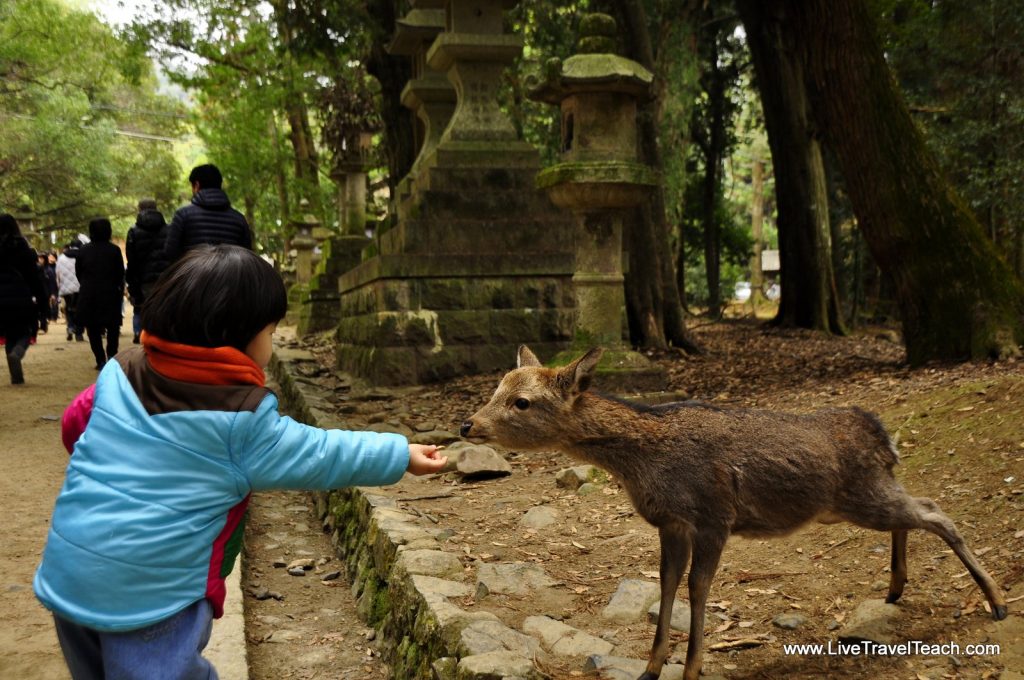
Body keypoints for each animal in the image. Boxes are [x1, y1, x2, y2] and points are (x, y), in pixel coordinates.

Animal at [460, 346, 1008, 680]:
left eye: (522, 401)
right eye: (495, 389)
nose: (467, 424)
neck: (644, 463)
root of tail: (883, 434)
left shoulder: (713, 515)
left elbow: (697, 589)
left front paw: (692, 668)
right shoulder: (671, 523)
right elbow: (666, 586)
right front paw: (650, 668)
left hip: (865, 494)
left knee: (936, 511)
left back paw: (998, 603)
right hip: (861, 498)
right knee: (916, 513)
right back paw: (895, 589)